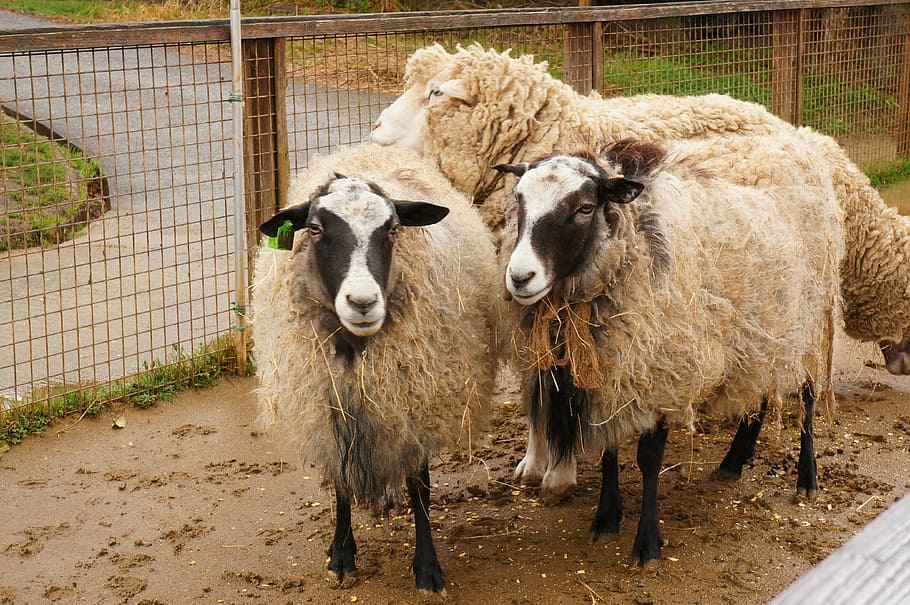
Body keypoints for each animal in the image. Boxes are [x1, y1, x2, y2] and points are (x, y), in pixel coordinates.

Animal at [250, 143, 499, 593]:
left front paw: (427, 568)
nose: (363, 302)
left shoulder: (412, 400)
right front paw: (341, 554)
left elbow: (420, 486)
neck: (354, 350)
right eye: (315, 229)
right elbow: (340, 484)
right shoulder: (331, 407)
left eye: (392, 228)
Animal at [492, 138, 843, 563]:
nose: (519, 277)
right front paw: (606, 517)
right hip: (761, 328)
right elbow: (610, 450)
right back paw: (734, 461)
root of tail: (798, 142)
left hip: (811, 318)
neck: (636, 243)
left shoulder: (662, 368)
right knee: (756, 391)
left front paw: (646, 543)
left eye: (585, 208)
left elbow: (648, 460)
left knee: (808, 396)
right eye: (519, 200)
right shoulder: (615, 371)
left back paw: (807, 478)